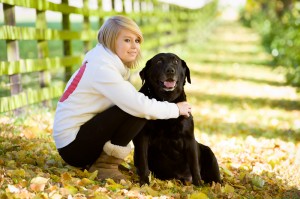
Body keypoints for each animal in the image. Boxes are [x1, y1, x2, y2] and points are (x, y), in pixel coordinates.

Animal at [132, 53, 221, 187]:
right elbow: (143, 162)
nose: (170, 70)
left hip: (209, 153)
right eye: (159, 62)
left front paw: (198, 185)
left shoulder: (189, 138)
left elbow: (194, 164)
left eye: (176, 62)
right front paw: (144, 182)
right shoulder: (142, 137)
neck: (167, 101)